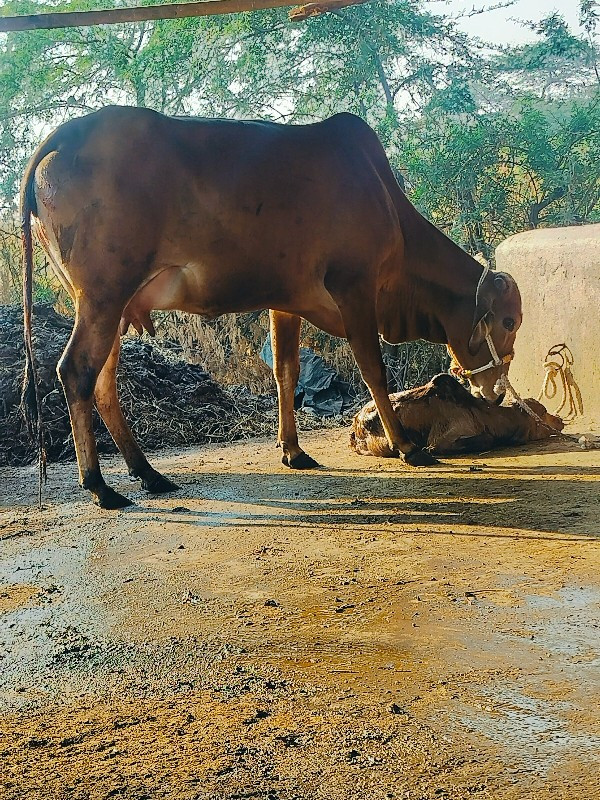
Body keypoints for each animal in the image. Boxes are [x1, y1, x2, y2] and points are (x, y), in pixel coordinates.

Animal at [21, 108, 524, 506]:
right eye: (508, 320)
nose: (497, 392)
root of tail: (66, 133)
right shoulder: (355, 288)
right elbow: (373, 370)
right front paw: (406, 445)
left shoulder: (286, 303)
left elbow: (287, 372)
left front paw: (293, 450)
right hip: (103, 297)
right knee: (76, 372)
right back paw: (99, 485)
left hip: (113, 307)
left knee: (103, 383)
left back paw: (147, 473)